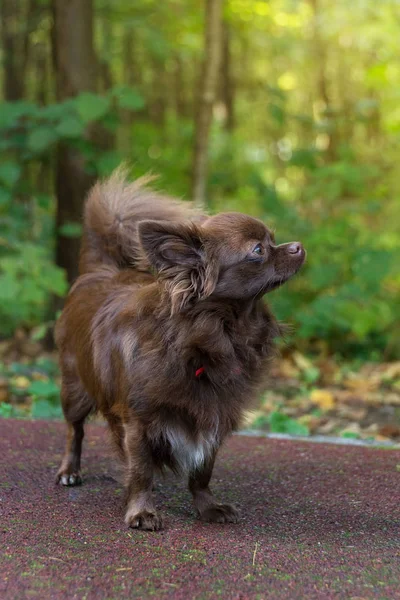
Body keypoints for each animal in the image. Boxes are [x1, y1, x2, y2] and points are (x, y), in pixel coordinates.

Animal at [55, 170, 306, 528]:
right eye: (258, 249)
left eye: (273, 239)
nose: (298, 246)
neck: (216, 336)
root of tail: (102, 271)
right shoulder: (138, 421)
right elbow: (141, 471)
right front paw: (142, 511)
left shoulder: (215, 415)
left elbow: (202, 472)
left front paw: (208, 507)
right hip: (75, 389)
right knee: (73, 430)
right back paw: (69, 471)